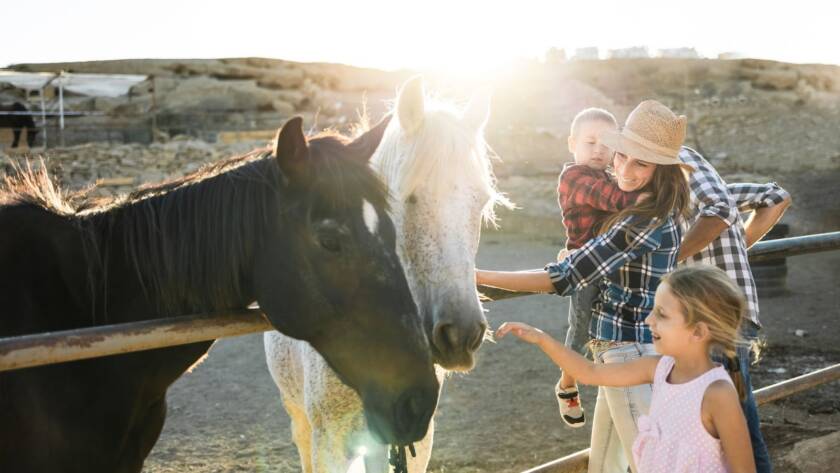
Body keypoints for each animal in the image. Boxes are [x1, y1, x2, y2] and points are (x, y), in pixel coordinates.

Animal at [265, 77, 511, 472]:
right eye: (407, 198)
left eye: (481, 202)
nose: (461, 334)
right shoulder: (327, 438)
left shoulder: (415, 433)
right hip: (299, 416)